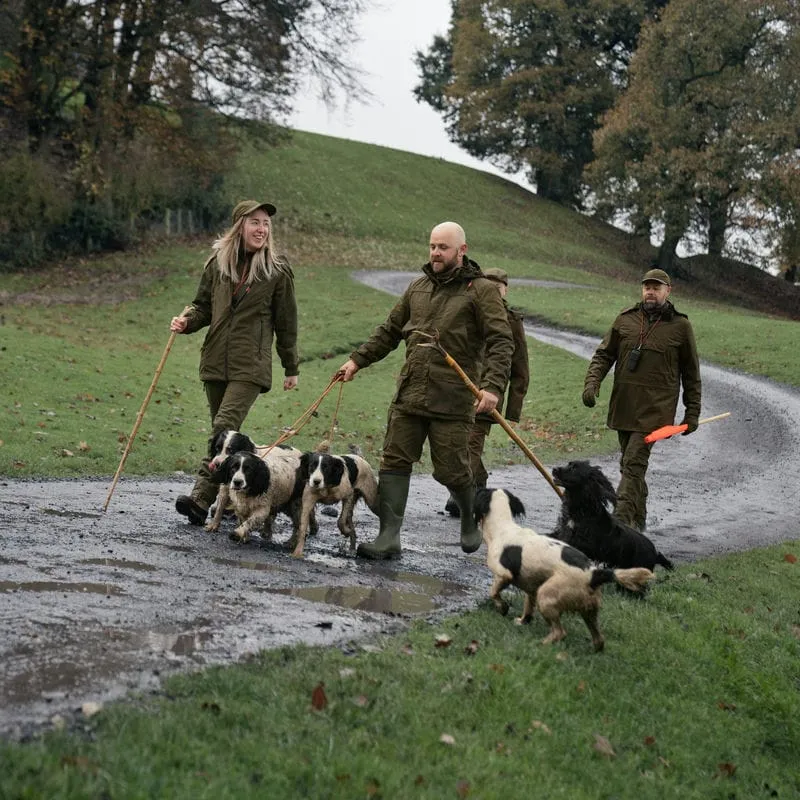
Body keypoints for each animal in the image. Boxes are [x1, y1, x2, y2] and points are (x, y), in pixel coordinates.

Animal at [476, 488, 648, 648]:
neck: (502, 527)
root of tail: (594, 574)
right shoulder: (532, 587)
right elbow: (528, 607)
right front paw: (523, 621)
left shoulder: (504, 574)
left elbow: (493, 592)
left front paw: (502, 608)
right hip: (588, 611)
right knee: (599, 640)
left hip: (546, 595)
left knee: (560, 632)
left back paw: (542, 644)